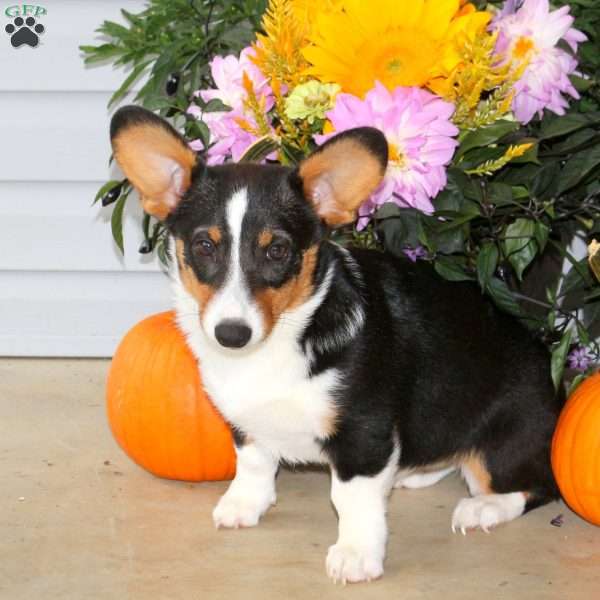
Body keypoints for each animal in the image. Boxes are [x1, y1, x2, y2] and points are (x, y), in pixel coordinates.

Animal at [110, 105, 560, 584]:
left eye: (277, 251)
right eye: (203, 246)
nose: (232, 334)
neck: (280, 341)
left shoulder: (363, 433)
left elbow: (352, 499)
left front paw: (357, 554)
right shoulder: (245, 422)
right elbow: (252, 461)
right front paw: (243, 505)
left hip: (504, 443)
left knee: (532, 485)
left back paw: (482, 508)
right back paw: (412, 474)